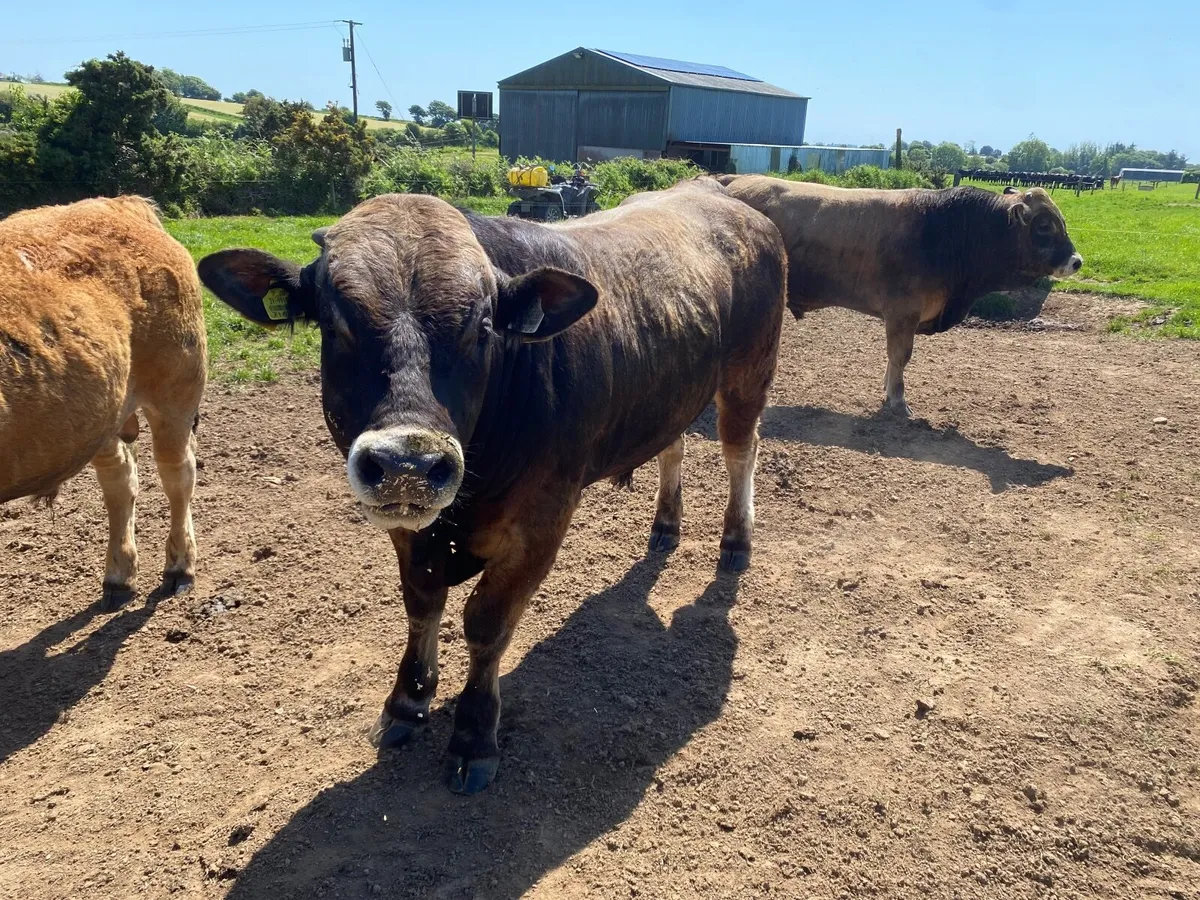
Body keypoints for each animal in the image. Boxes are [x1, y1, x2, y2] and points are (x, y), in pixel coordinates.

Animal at [0, 196, 206, 609]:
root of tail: (119, 204)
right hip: (97, 418)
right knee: (119, 479)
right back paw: (119, 576)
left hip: (175, 394)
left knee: (177, 474)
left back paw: (178, 567)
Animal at [197, 179, 786, 793]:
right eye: (334, 326)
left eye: (480, 328)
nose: (407, 463)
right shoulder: (412, 530)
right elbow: (421, 603)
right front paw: (407, 701)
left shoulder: (540, 523)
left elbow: (486, 624)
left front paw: (474, 735)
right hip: (673, 396)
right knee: (673, 444)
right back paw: (665, 524)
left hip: (748, 375)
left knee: (741, 451)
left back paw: (736, 541)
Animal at [716, 175, 1082, 416]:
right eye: (1044, 226)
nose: (1076, 260)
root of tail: (731, 181)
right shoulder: (903, 313)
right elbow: (900, 356)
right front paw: (898, 400)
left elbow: (893, 358)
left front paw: (887, 390)